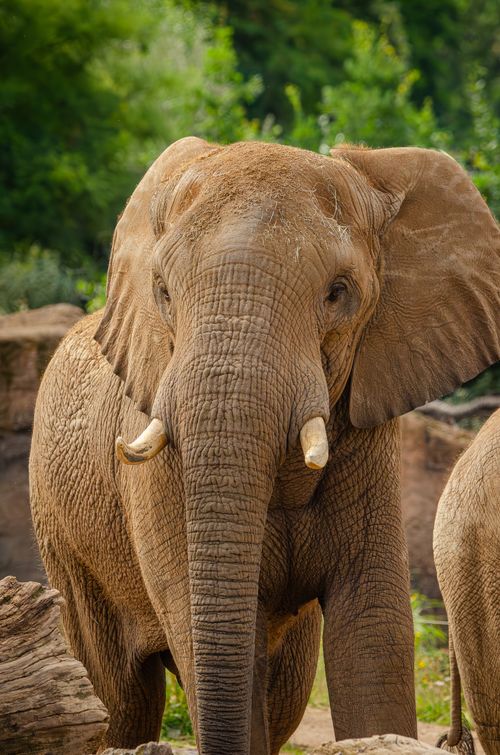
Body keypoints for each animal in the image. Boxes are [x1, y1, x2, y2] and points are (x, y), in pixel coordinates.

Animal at [29, 137, 500, 755]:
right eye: (163, 293)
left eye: (338, 293)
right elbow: (205, 621)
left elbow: (372, 625)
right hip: (65, 540)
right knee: (121, 699)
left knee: (283, 691)